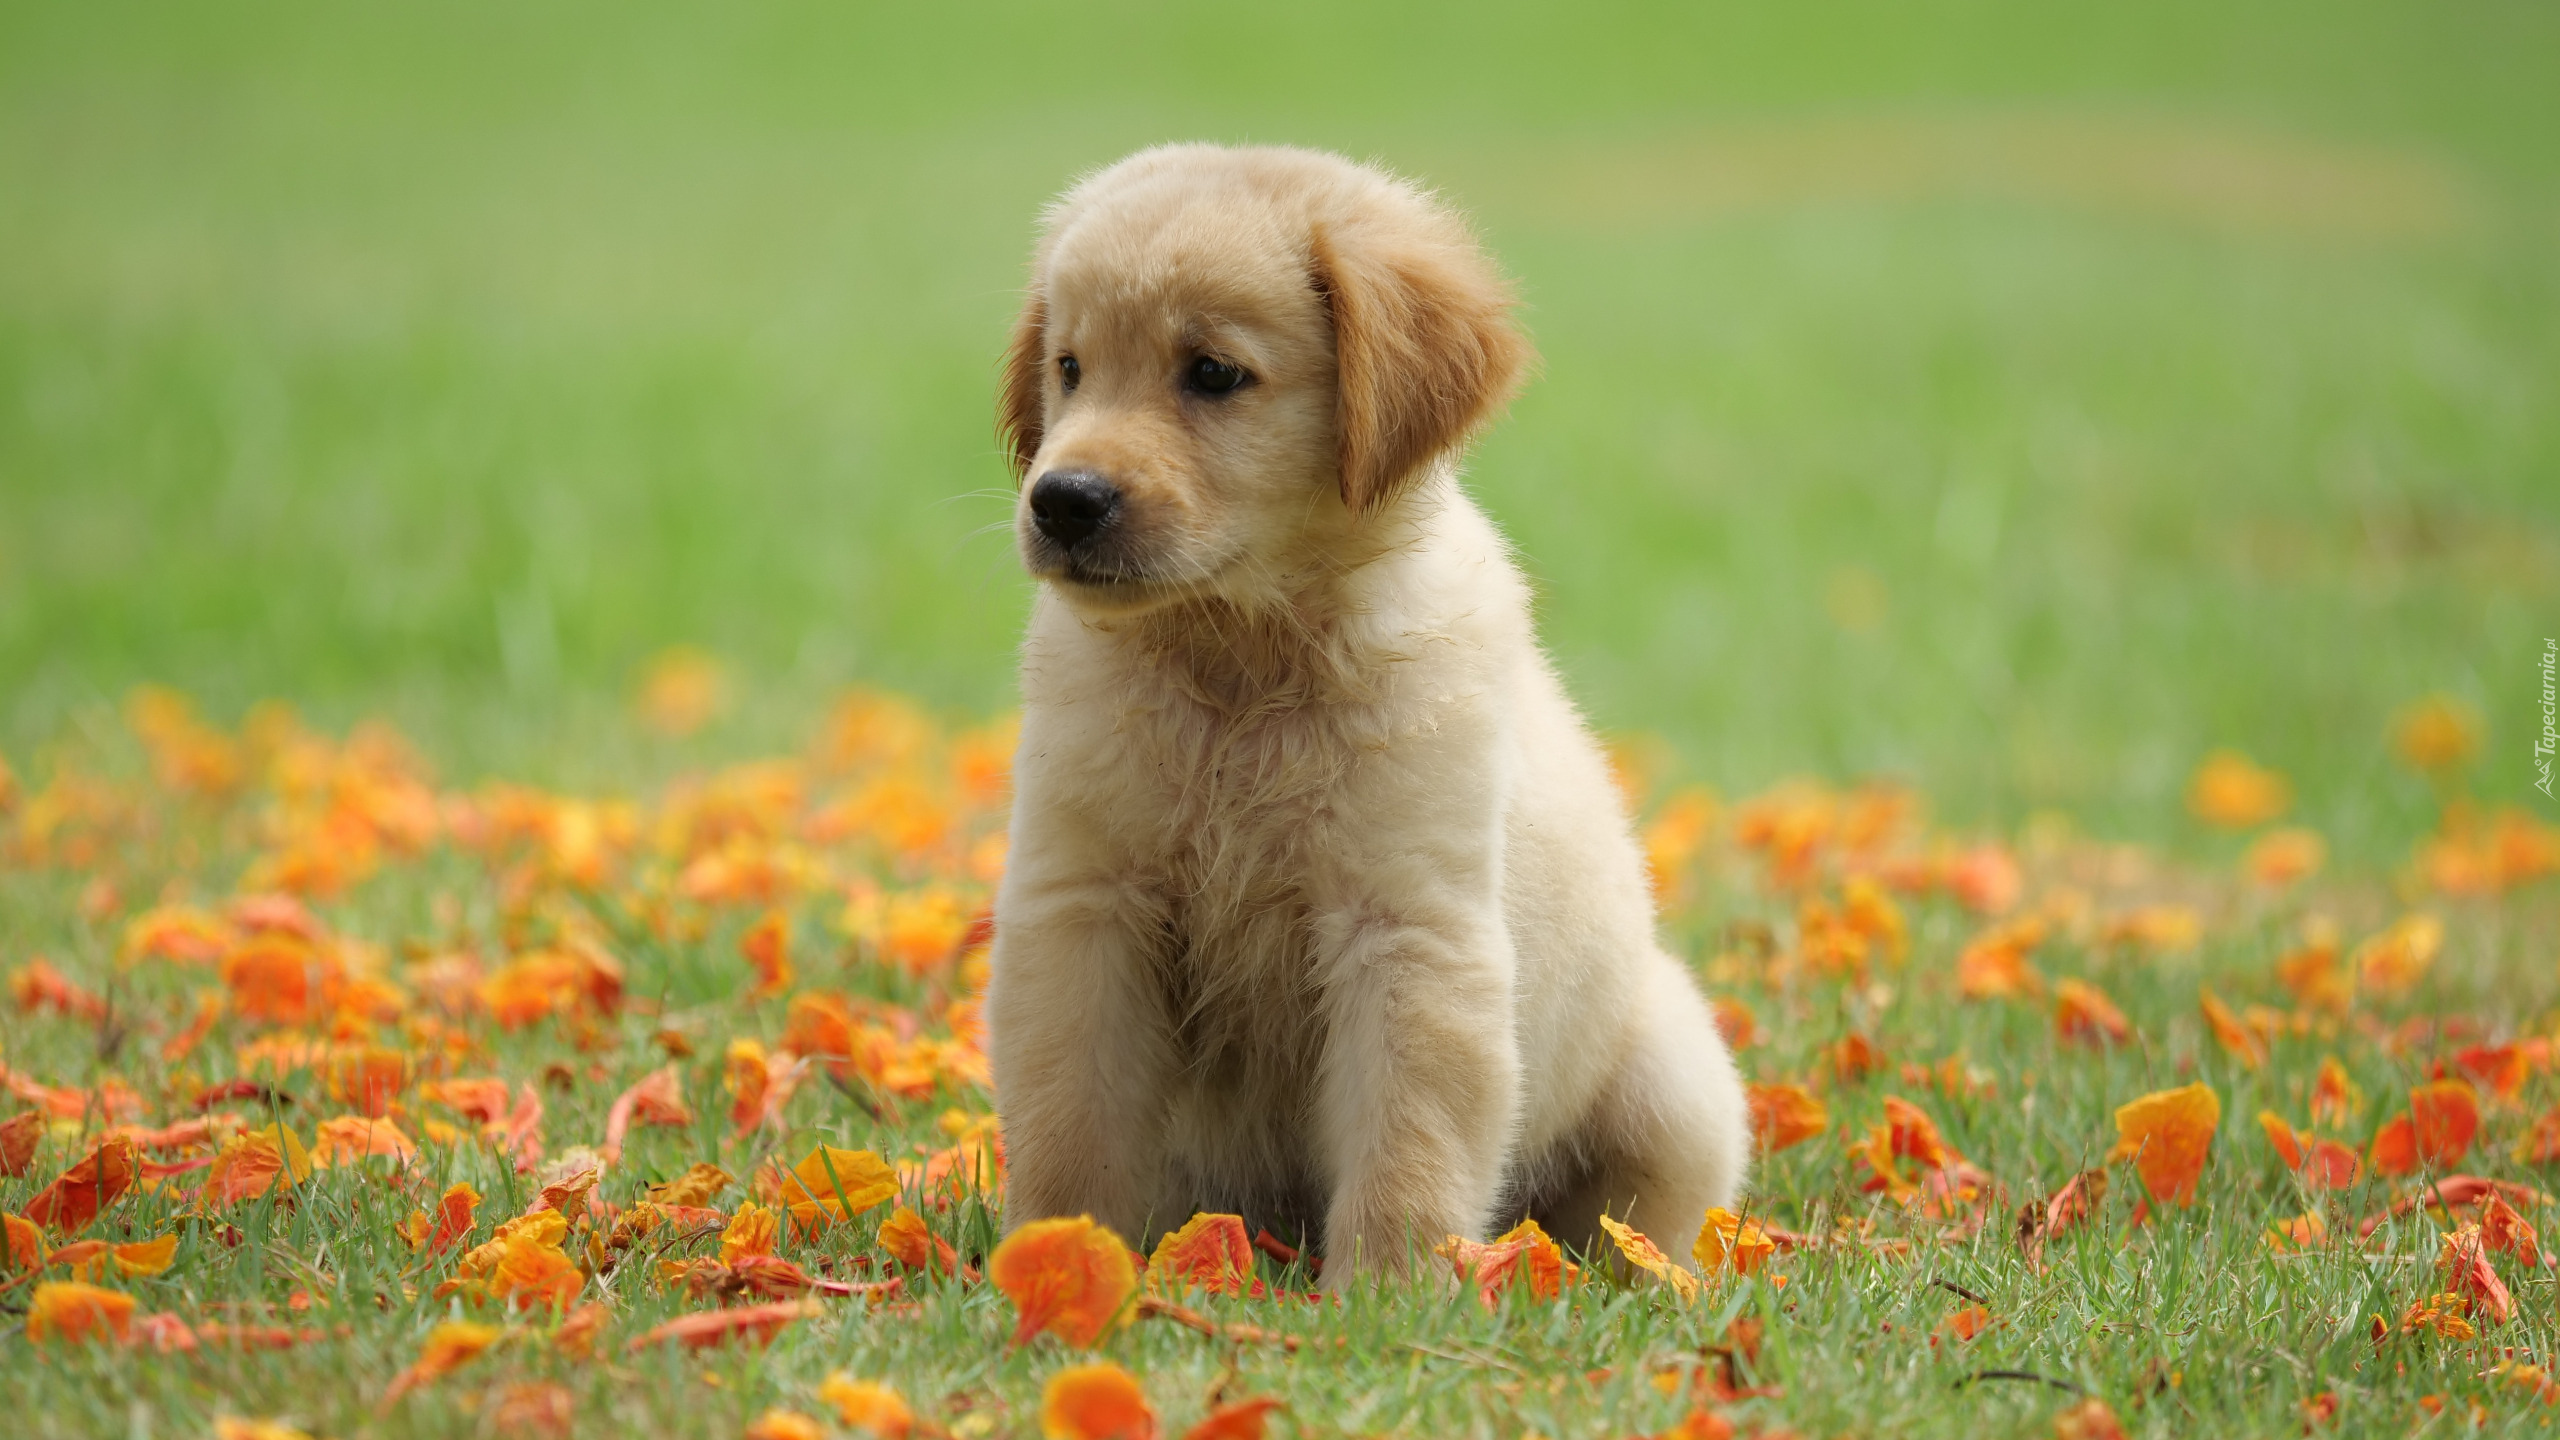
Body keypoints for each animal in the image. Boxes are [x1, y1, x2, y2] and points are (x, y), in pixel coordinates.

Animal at [977, 140, 1740, 1270]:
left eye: (1213, 373)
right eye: (1069, 368)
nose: (1062, 501)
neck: (1238, 666)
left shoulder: (1409, 933)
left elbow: (1406, 1145)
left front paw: (1389, 1291)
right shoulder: (1082, 908)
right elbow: (1071, 1120)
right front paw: (1063, 1258)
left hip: (1674, 1080)